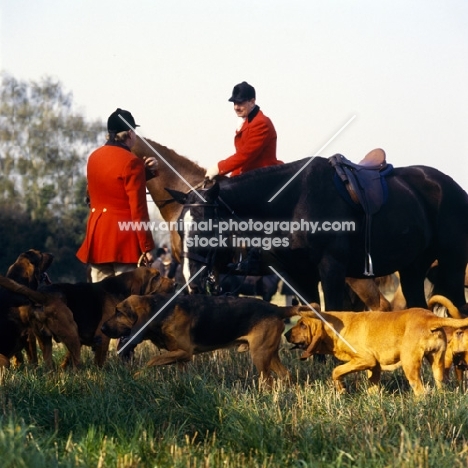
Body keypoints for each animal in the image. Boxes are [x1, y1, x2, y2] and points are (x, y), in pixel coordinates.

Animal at [170, 155, 468, 312]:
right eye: (180, 229)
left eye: (209, 226)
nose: (191, 282)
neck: (293, 203)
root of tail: (453, 188)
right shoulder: (297, 274)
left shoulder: (331, 269)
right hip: (413, 269)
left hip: (452, 267)